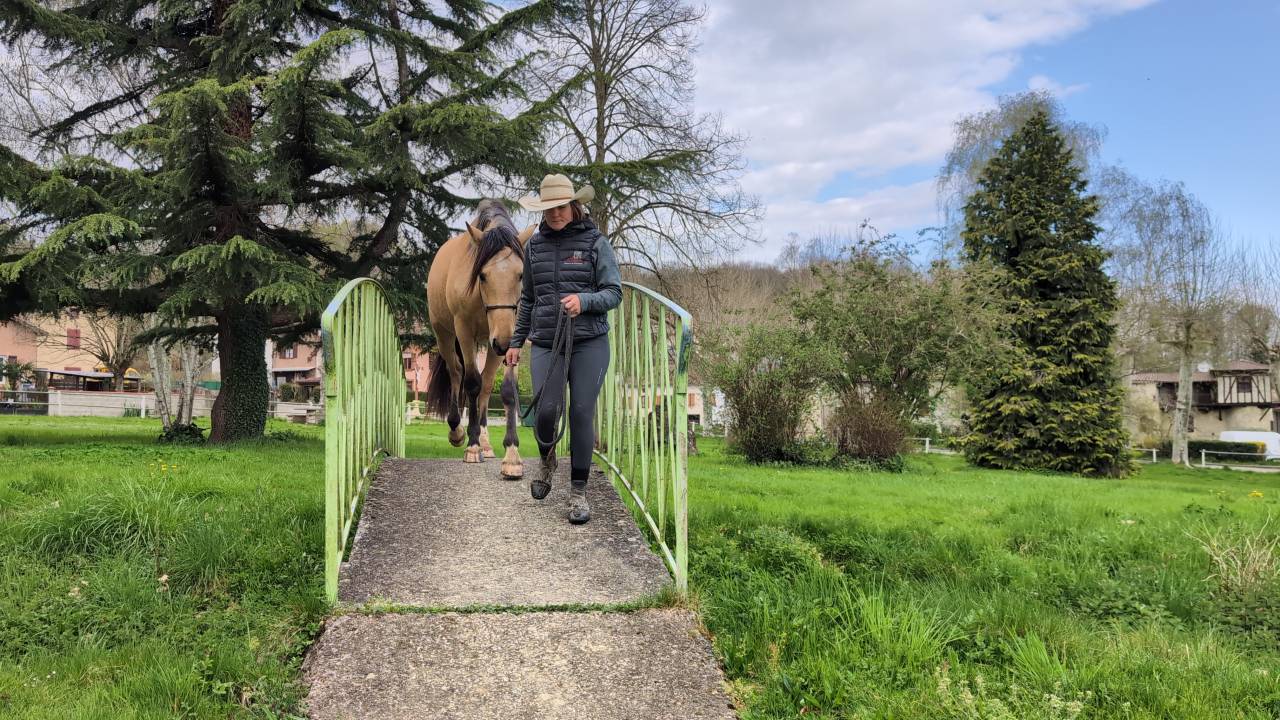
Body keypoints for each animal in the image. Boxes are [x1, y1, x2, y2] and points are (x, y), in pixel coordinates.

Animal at [424, 200, 534, 478]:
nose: (504, 342)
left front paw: (511, 454)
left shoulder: (506, 340)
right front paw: (471, 446)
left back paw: (485, 441)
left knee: (486, 385)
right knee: (456, 372)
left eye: (521, 275)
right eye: (482, 275)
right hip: (445, 335)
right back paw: (458, 431)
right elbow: (471, 383)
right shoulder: (464, 331)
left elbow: (505, 390)